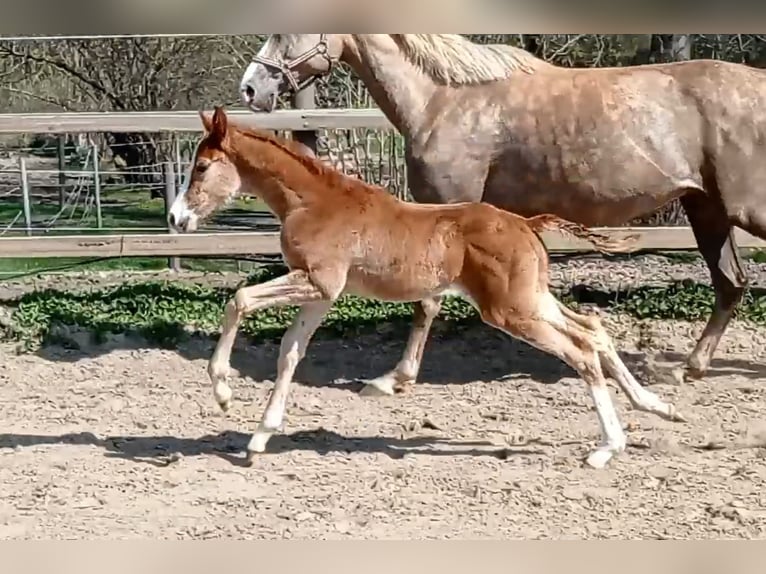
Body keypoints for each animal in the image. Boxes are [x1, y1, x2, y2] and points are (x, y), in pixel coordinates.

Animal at [171, 107, 688, 468]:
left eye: (202, 167)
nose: (176, 219)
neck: (314, 201)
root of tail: (526, 223)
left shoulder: (317, 282)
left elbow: (239, 300)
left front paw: (223, 392)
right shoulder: (322, 295)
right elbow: (290, 353)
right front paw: (259, 438)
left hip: (511, 310)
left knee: (580, 351)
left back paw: (606, 448)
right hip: (531, 299)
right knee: (592, 329)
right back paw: (657, 408)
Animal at [243, 35, 766, 388]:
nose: (250, 88)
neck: (441, 100)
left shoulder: (442, 209)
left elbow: (427, 301)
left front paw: (397, 377)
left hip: (741, 210)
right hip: (706, 209)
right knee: (731, 284)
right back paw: (690, 369)